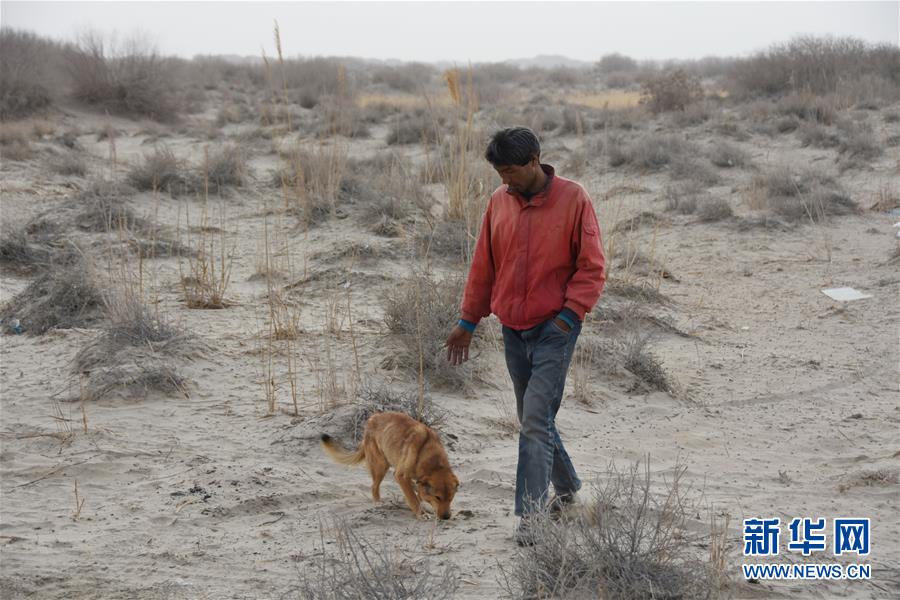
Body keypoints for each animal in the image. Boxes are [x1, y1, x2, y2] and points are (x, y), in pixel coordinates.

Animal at [322, 410, 460, 516]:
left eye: (451, 498)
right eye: (438, 497)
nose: (446, 517)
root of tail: (371, 419)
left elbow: (417, 494)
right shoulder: (401, 476)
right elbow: (413, 498)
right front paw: (421, 513)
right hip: (380, 466)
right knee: (374, 487)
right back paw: (378, 503)